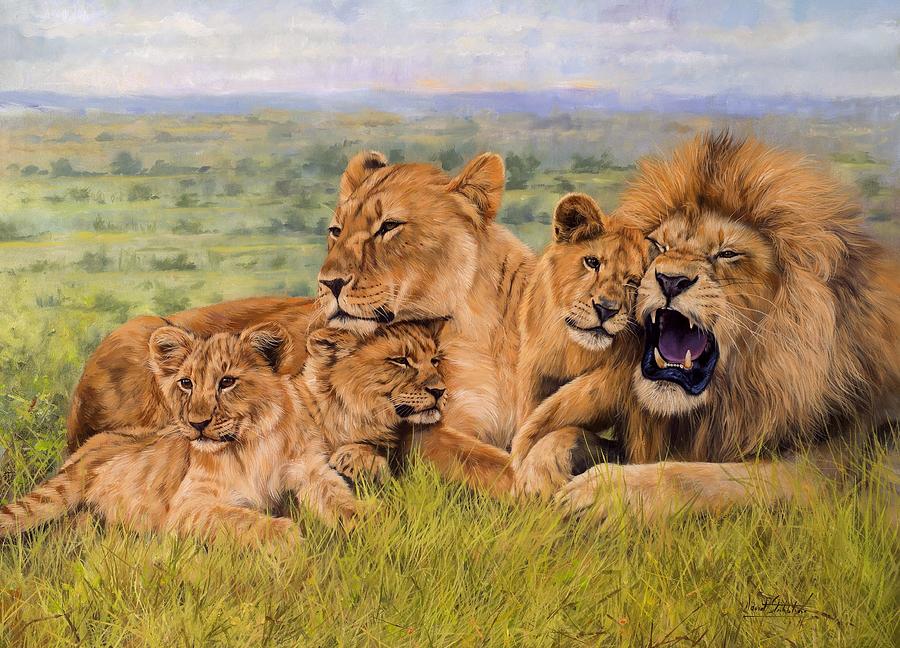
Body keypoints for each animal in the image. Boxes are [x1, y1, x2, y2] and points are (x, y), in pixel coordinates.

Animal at [511, 193, 649, 497]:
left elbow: (560, 410)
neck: (573, 351)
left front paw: (530, 471)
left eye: (632, 282)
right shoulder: (533, 374)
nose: (607, 309)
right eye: (592, 262)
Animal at [555, 132, 900, 520]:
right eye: (658, 245)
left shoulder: (830, 472)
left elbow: (705, 477)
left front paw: (603, 491)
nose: (670, 280)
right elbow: (571, 434)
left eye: (728, 254)